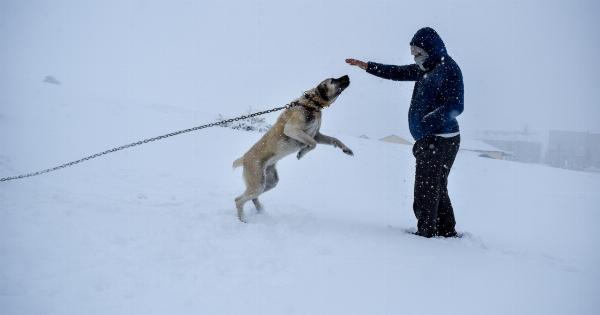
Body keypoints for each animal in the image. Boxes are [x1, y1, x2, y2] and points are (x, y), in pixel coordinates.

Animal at [231, 75, 354, 222]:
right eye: (333, 80)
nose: (347, 76)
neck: (311, 104)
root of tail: (244, 158)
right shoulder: (292, 130)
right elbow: (312, 144)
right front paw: (301, 152)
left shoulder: (317, 135)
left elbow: (334, 139)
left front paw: (346, 149)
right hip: (258, 182)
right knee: (238, 200)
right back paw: (243, 219)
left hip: (269, 182)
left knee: (253, 197)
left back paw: (261, 211)